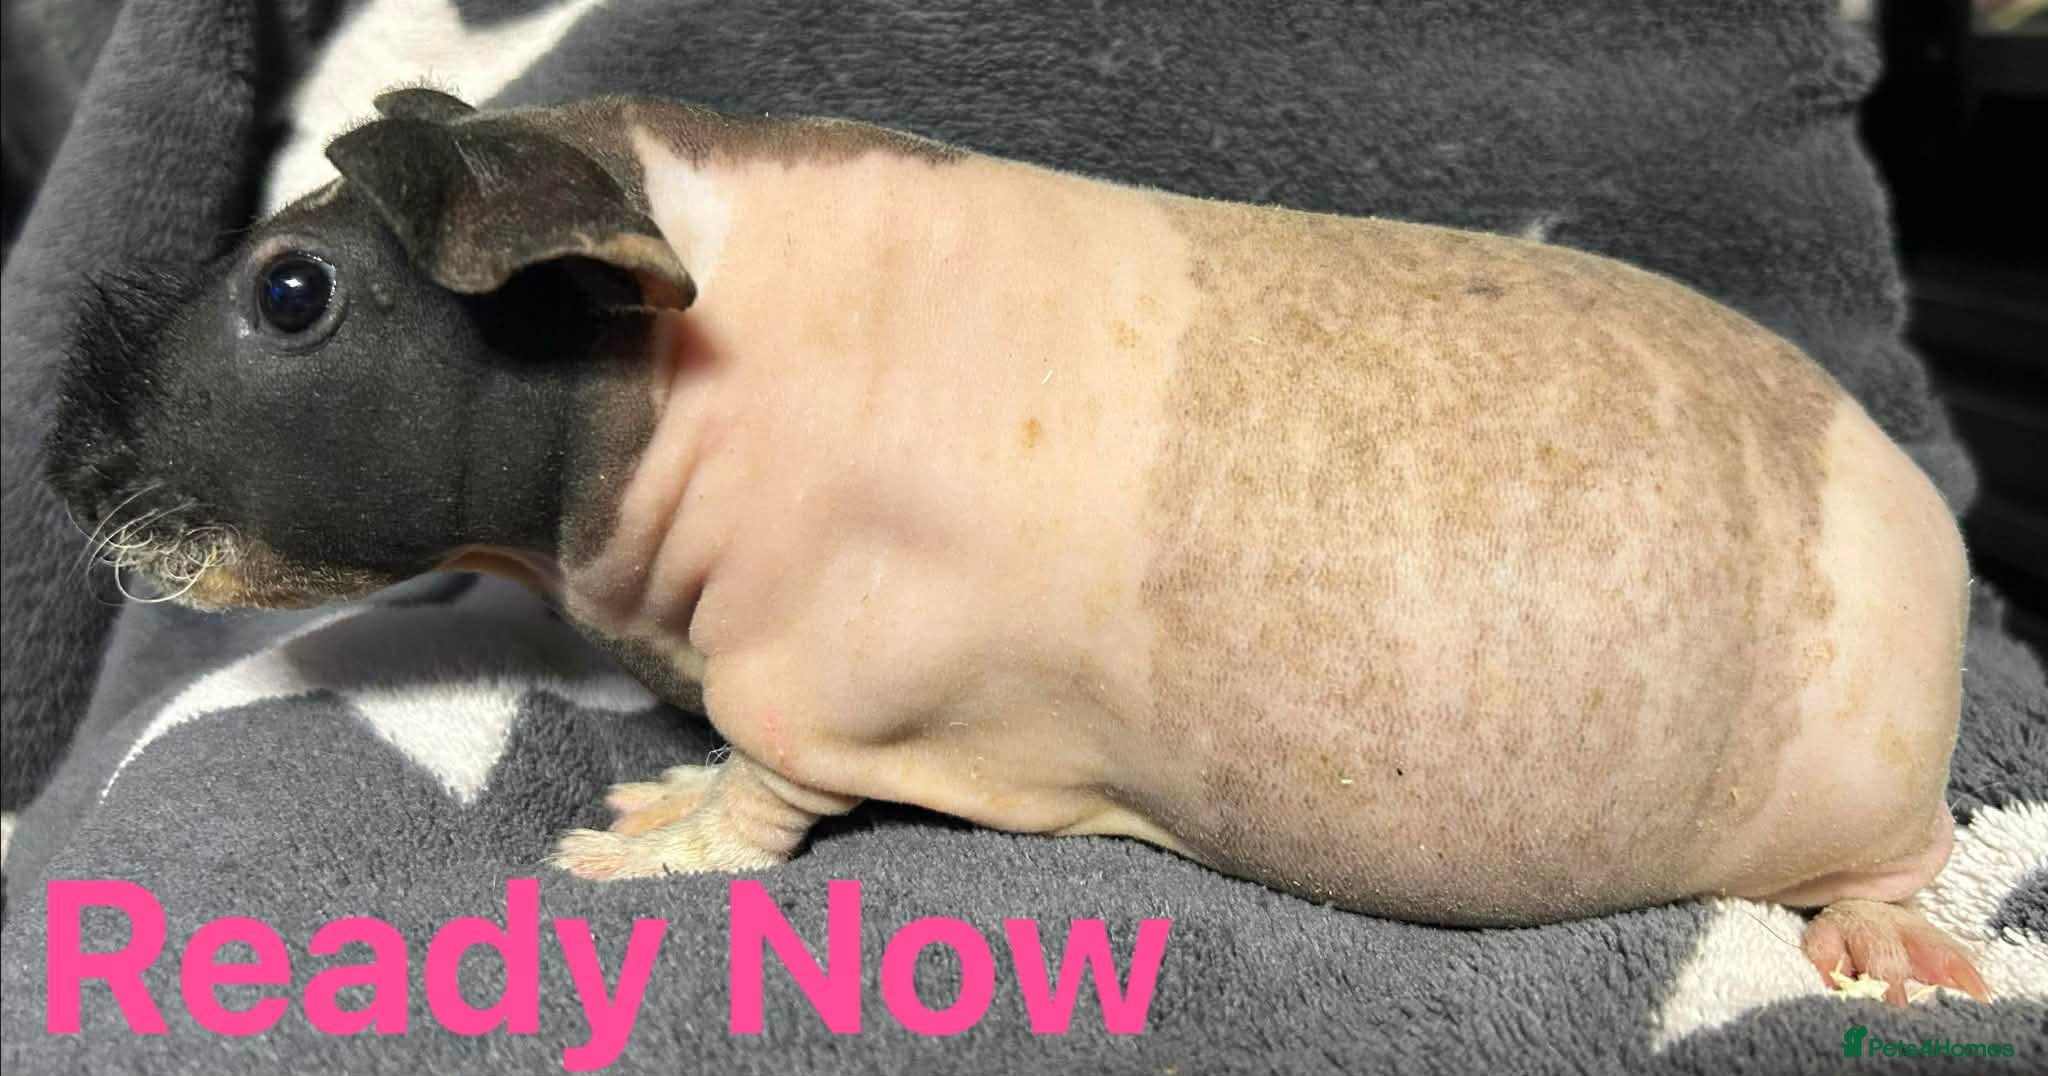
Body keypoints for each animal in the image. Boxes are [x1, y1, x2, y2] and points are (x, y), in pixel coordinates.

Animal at [43, 88, 1986, 1006]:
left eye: (292, 294)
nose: (67, 471)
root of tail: (1931, 538)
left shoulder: (816, 669)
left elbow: (760, 793)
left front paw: (639, 836)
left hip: (1860, 790)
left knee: (1904, 866)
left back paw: (1890, 956)